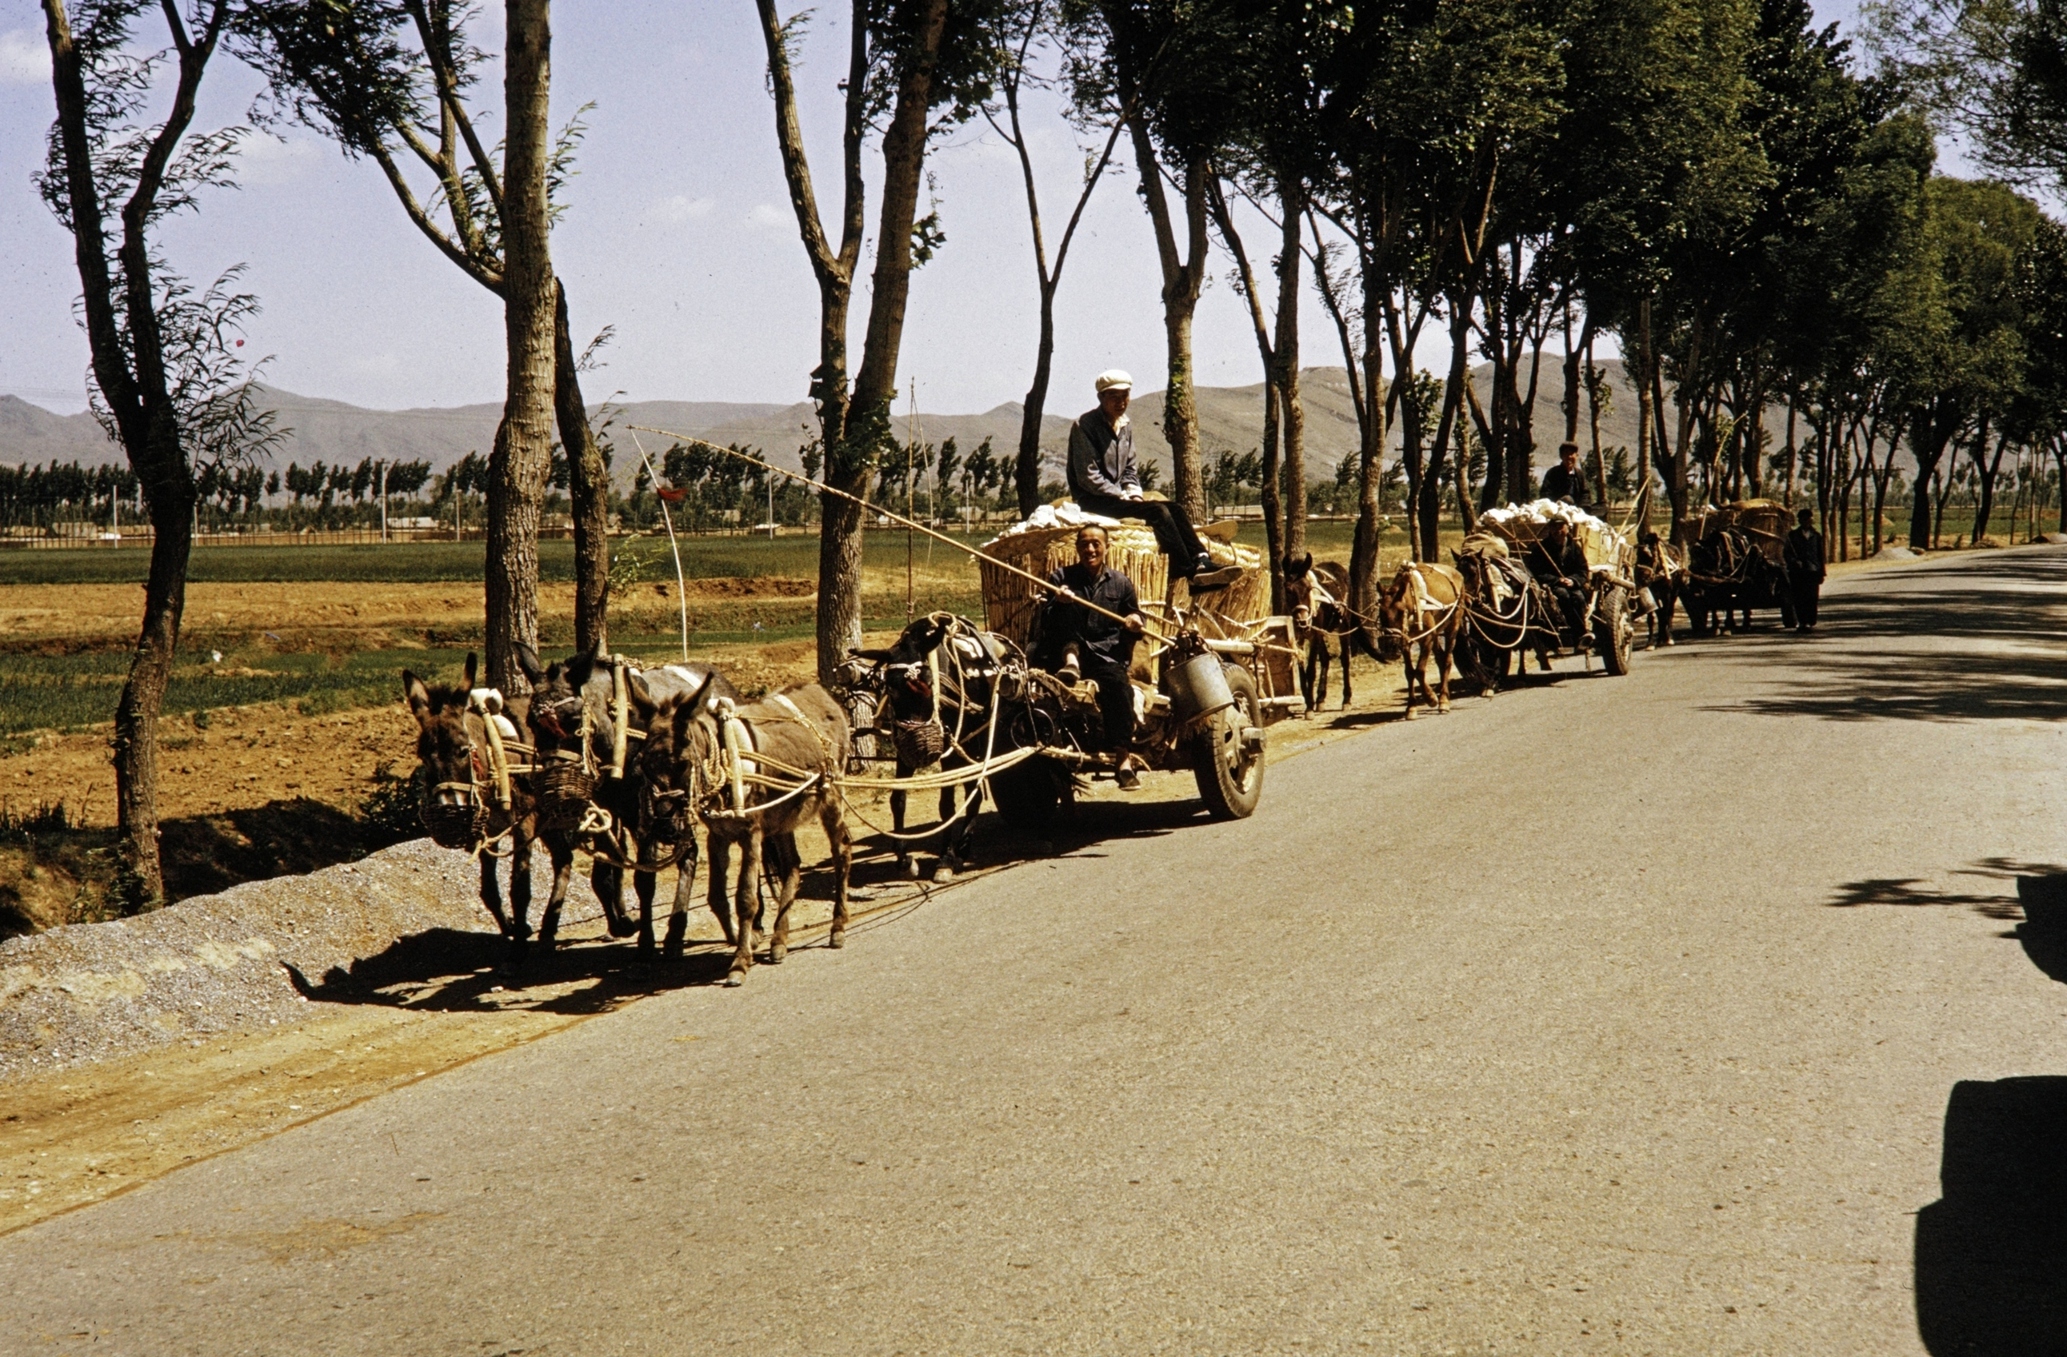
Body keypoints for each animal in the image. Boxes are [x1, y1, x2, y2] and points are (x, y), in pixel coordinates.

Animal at [400, 652, 574, 966]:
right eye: (422, 756)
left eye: (462, 751)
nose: (450, 811)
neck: (494, 755)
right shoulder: (487, 828)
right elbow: (489, 891)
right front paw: (514, 929)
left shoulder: (524, 825)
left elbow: (520, 889)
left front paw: (518, 949)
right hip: (550, 818)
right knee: (564, 859)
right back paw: (549, 928)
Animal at [525, 644, 744, 954]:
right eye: (532, 723)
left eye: (574, 721)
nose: (556, 790)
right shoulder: (607, 811)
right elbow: (606, 875)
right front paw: (624, 925)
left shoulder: (650, 816)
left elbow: (645, 878)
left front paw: (647, 940)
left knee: (689, 852)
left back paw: (679, 932)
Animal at [632, 677, 851, 983]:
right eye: (643, 765)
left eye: (684, 763)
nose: (664, 829)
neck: (724, 765)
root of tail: (818, 690)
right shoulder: (718, 836)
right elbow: (716, 897)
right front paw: (744, 941)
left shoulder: (751, 834)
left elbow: (746, 898)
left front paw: (740, 961)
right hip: (782, 816)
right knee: (792, 867)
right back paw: (779, 940)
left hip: (832, 795)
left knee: (842, 851)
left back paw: (838, 927)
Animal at [1273, 549, 1372, 710]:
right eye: (1288, 590)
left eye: (1308, 589)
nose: (1303, 621)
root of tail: (1336, 566)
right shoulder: (1299, 638)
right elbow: (1302, 672)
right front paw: (1308, 699)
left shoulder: (1315, 635)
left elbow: (1311, 670)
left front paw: (1309, 707)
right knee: (1326, 658)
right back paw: (1320, 698)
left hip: (1343, 625)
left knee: (1345, 659)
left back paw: (1346, 699)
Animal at [1372, 557, 1471, 714]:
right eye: (1381, 613)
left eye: (1400, 612)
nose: (1390, 646)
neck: (1412, 600)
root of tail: (1458, 573)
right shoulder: (1406, 641)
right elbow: (1409, 672)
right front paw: (1411, 707)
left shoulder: (1427, 638)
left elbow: (1419, 670)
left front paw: (1430, 697)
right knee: (1440, 658)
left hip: (1453, 624)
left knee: (1447, 659)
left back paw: (1443, 699)